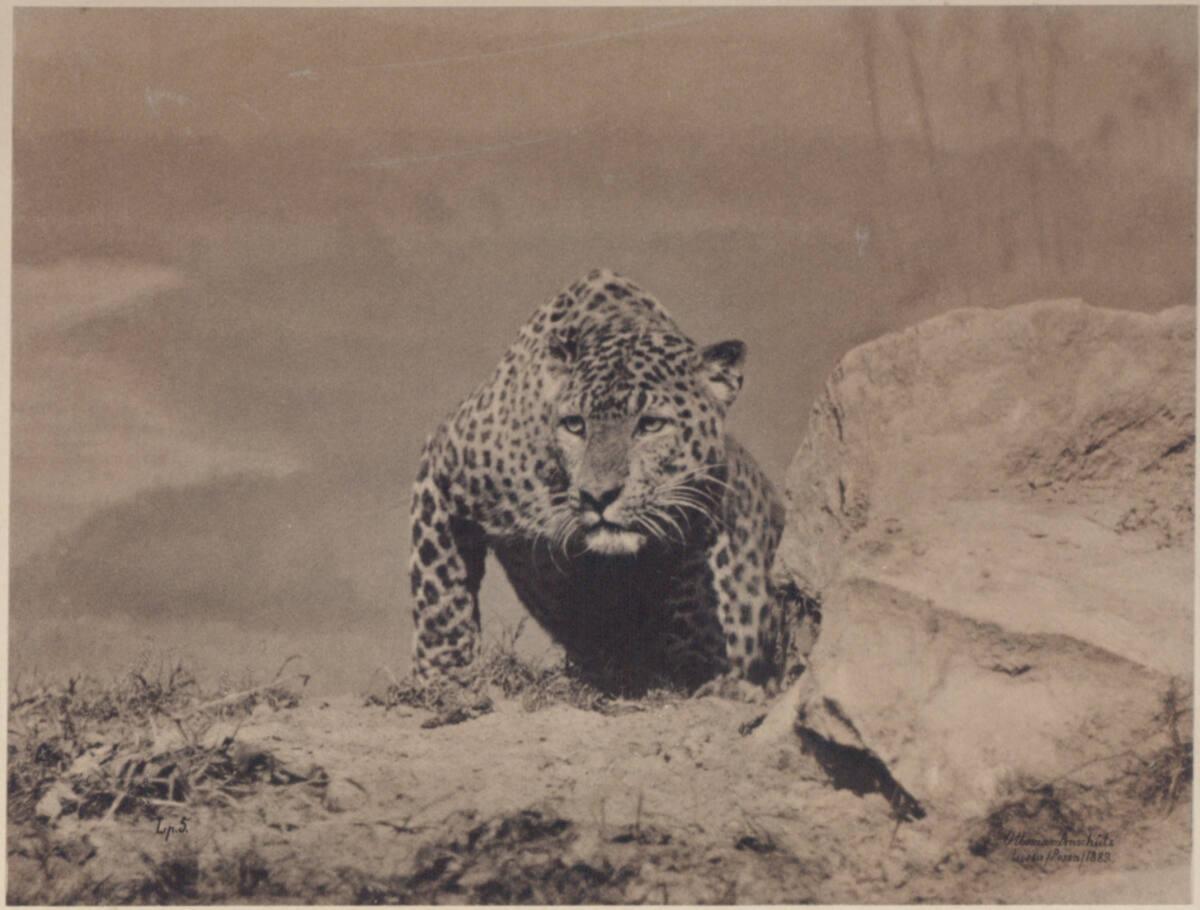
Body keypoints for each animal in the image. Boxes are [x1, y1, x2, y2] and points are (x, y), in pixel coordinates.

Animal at [408, 269, 793, 695]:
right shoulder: (442, 467)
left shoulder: (702, 510)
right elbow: (439, 593)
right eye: (575, 424)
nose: (598, 496)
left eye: (651, 424)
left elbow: (695, 594)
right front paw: (443, 676)